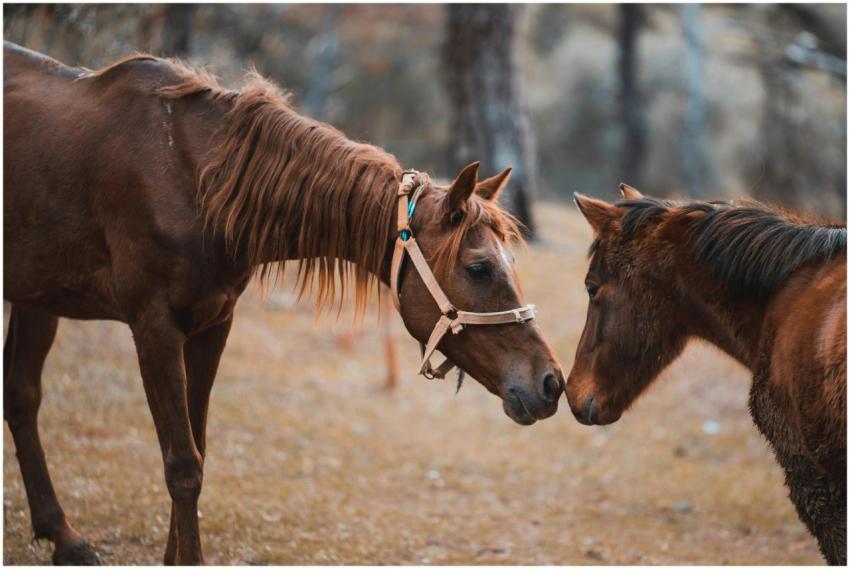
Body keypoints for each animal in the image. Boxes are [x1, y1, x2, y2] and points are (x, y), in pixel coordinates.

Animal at [3, 42, 565, 565]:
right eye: (479, 268)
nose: (551, 382)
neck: (192, 180)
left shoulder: (212, 325)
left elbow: (197, 447)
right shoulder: (154, 328)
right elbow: (182, 465)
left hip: (38, 297)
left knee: (21, 394)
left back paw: (64, 536)